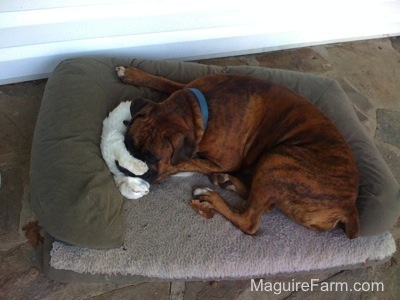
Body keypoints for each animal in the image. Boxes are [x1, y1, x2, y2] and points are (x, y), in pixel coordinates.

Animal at [115, 66, 360, 239]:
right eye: (126, 143)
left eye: (152, 158)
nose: (125, 168)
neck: (199, 111)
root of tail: (349, 207)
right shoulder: (185, 88)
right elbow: (166, 81)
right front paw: (131, 73)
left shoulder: (226, 160)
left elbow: (185, 162)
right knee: (260, 200)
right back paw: (226, 181)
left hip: (278, 158)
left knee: (249, 220)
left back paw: (212, 196)